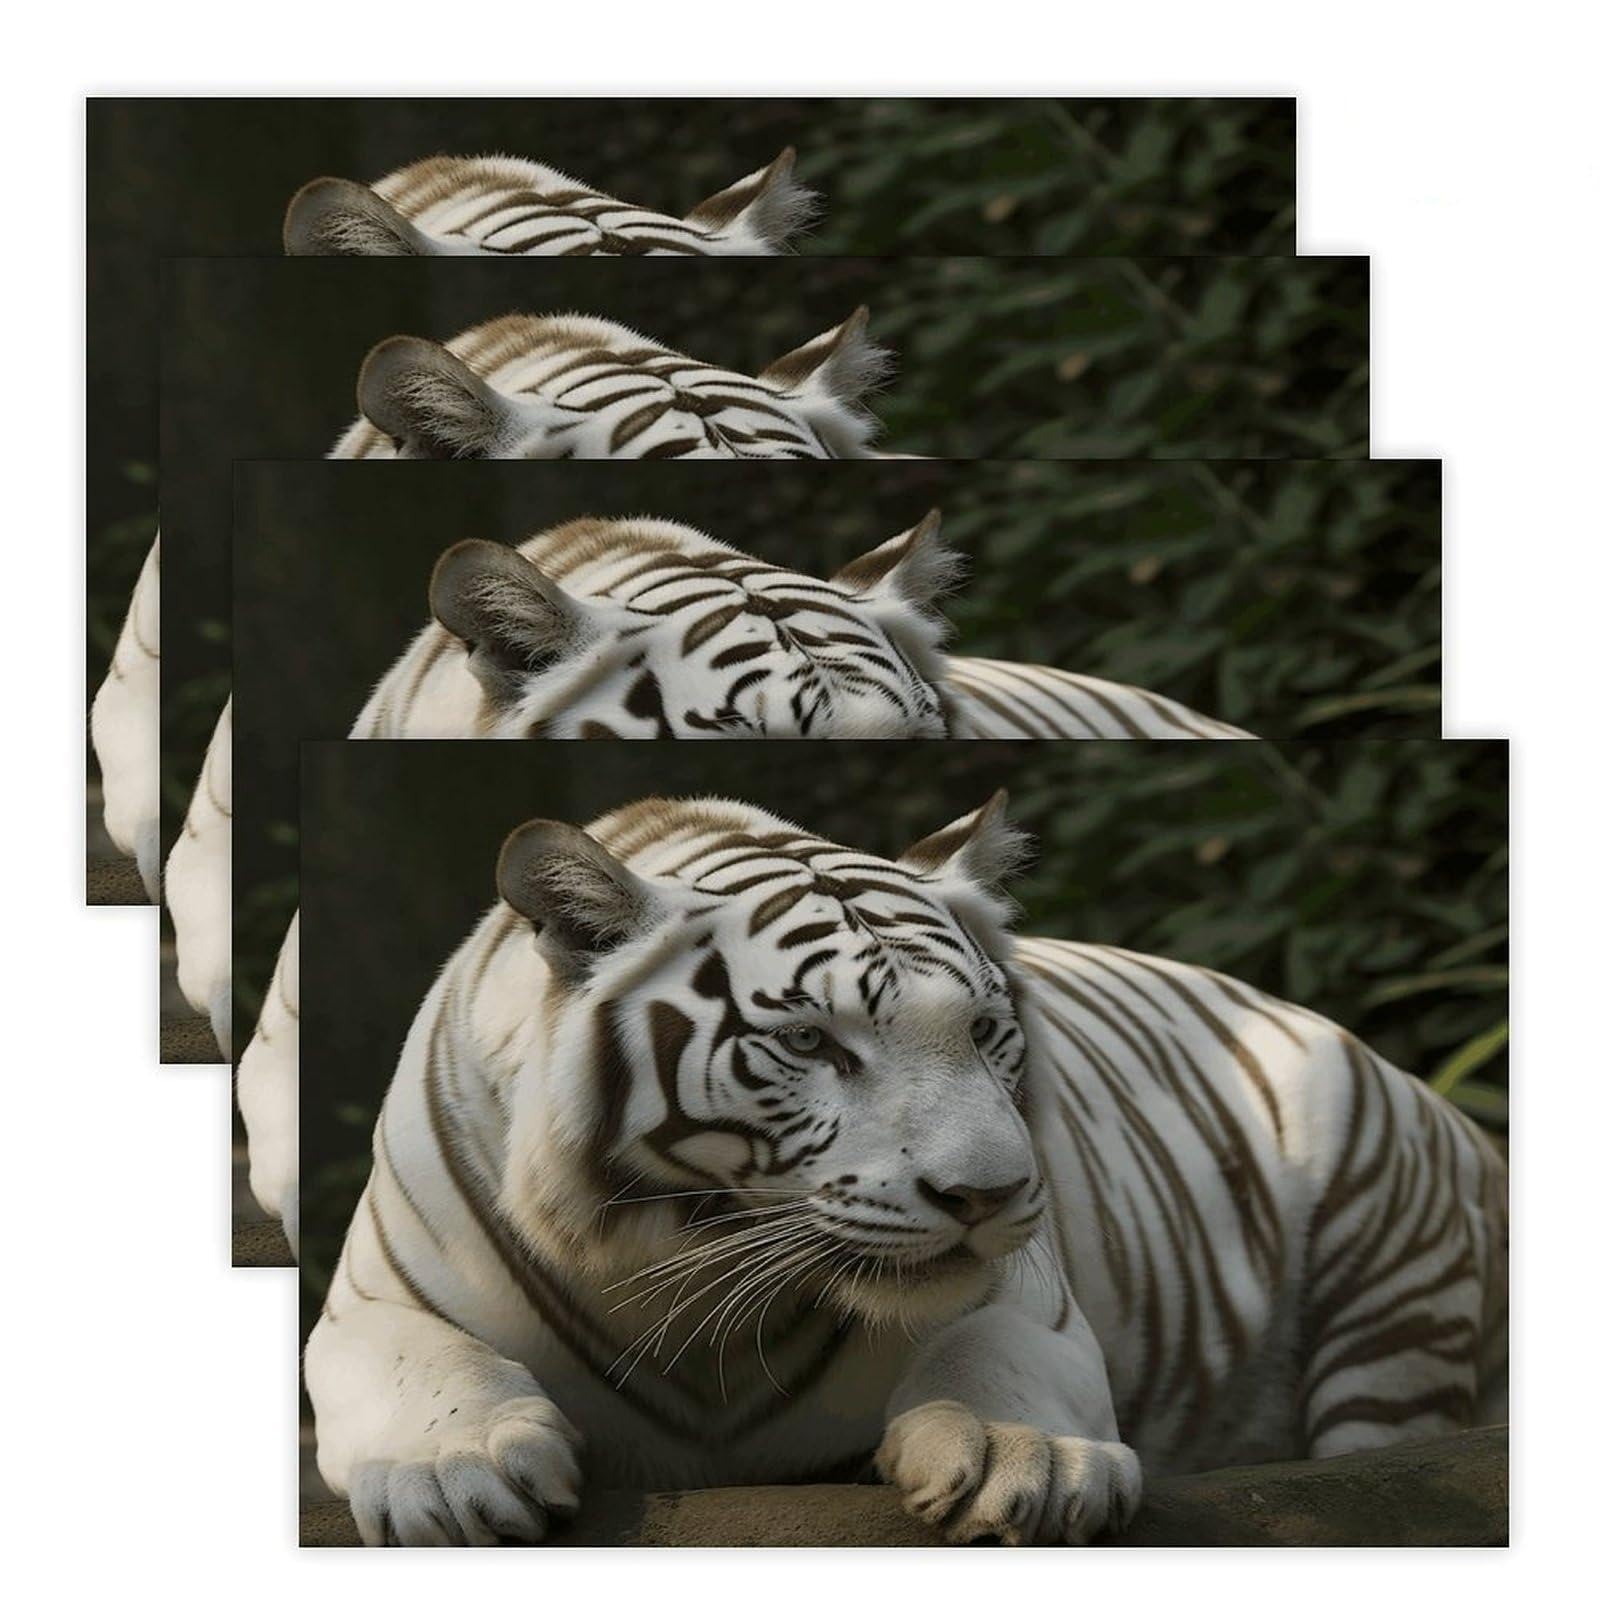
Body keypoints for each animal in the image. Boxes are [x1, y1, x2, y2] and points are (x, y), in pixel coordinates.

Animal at [304, 793, 1508, 1547]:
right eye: (809, 1041)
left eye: (981, 1030)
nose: (986, 1196)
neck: (693, 1265)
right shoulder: (375, 1303)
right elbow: (429, 1364)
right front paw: (452, 1474)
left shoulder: (1035, 1298)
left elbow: (991, 1353)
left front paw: (1027, 1461)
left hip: (1389, 1310)